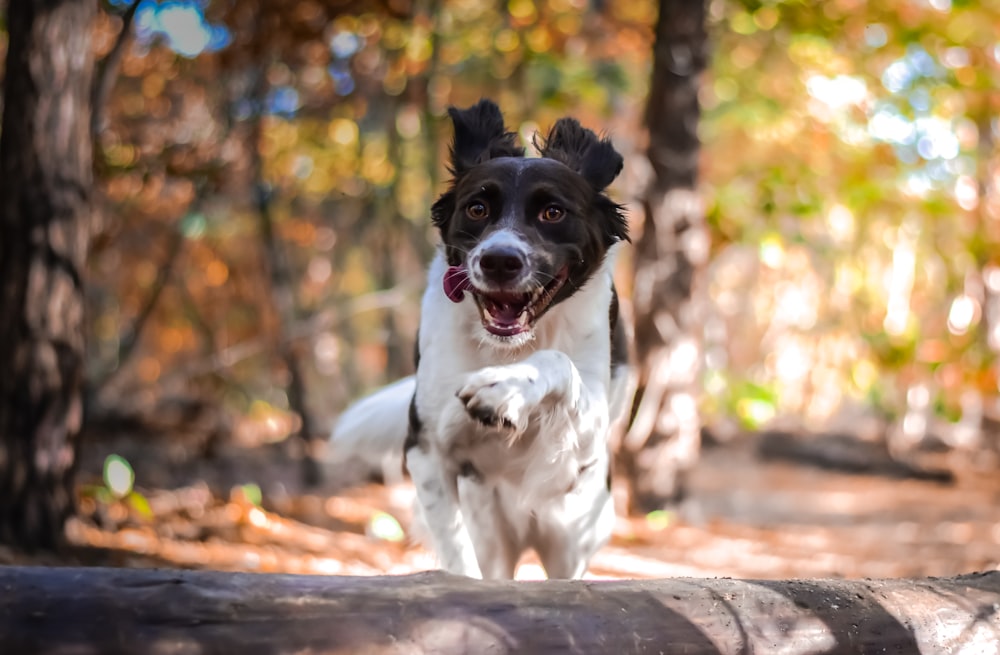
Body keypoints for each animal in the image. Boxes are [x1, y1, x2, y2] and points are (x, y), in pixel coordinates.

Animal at [332, 100, 628, 580]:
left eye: (553, 212)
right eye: (476, 209)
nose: (499, 261)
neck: (508, 348)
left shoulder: (586, 437)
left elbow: (558, 362)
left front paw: (504, 389)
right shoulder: (426, 448)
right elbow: (456, 550)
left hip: (574, 529)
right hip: (492, 525)